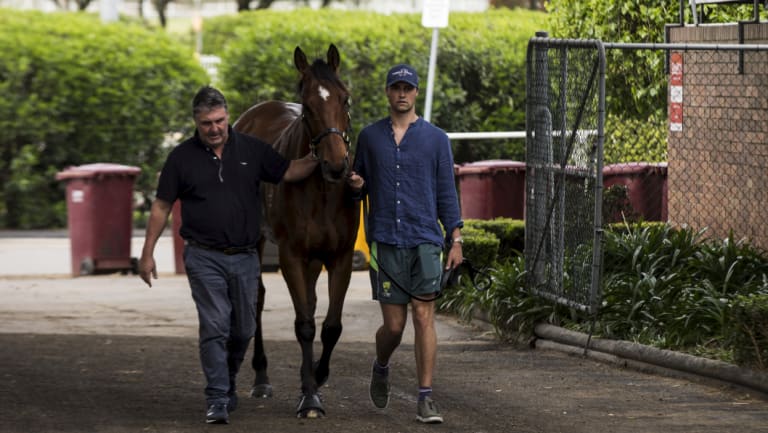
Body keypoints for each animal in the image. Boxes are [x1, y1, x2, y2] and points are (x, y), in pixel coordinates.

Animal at [231, 43, 360, 416]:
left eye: (345, 99)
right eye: (308, 106)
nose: (337, 165)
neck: (322, 190)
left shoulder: (340, 256)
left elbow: (331, 326)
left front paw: (317, 375)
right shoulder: (290, 254)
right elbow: (304, 324)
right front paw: (309, 397)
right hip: (258, 238)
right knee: (257, 297)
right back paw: (261, 378)